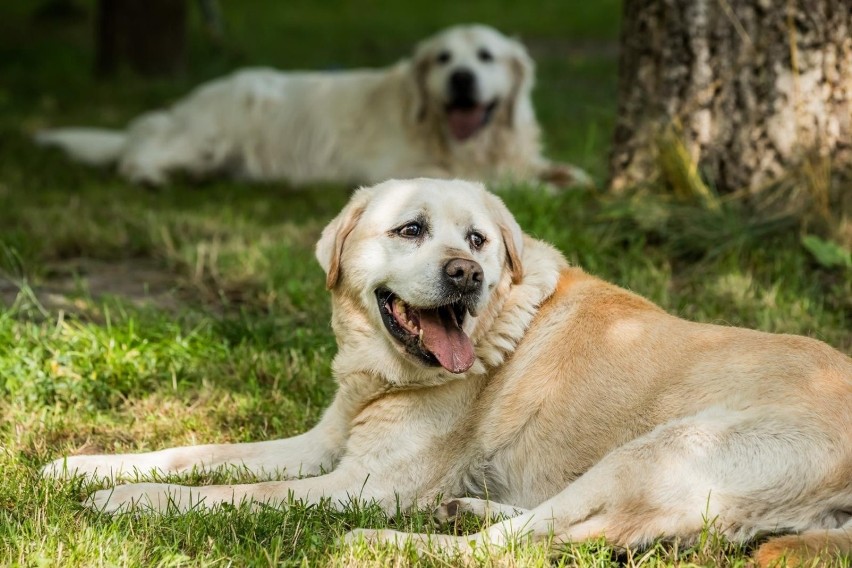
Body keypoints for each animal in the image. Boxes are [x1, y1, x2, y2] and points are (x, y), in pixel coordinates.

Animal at [36, 25, 588, 189]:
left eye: (486, 57)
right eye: (443, 58)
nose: (461, 78)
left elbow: (557, 169)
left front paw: (576, 178)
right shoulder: (400, 167)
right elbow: (496, 182)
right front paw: (544, 188)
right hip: (211, 134)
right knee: (138, 153)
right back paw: (149, 175)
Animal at [46, 180, 852, 564]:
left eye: (478, 240)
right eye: (411, 230)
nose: (466, 274)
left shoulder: (359, 483)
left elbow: (232, 495)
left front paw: (129, 501)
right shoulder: (322, 443)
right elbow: (202, 452)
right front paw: (81, 467)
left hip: (663, 447)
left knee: (522, 548)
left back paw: (382, 544)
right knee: (556, 533)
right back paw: (464, 509)